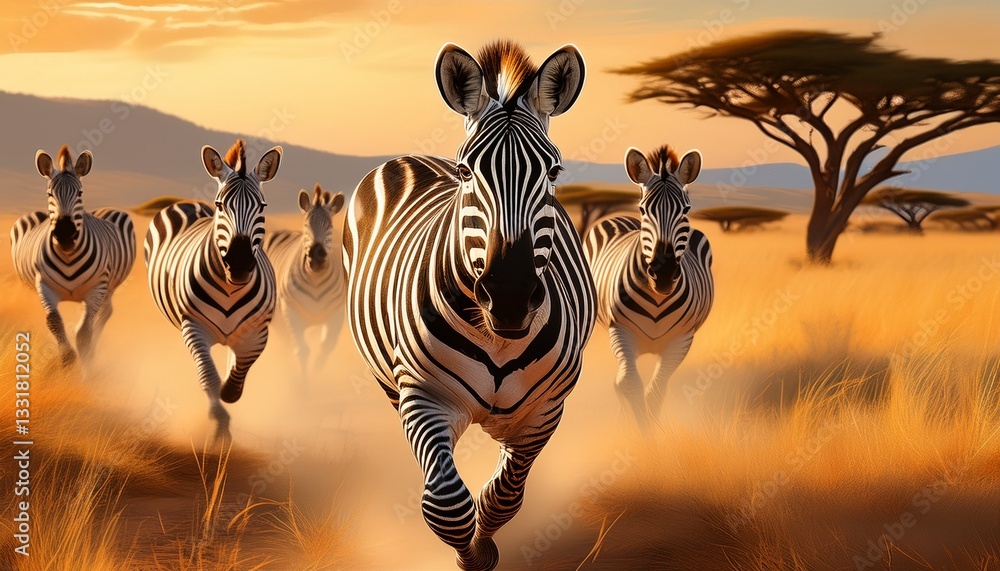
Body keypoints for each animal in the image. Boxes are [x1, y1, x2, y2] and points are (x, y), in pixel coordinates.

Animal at [10, 145, 135, 366]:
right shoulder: (44, 285)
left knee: (103, 315)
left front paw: (86, 366)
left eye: (80, 193)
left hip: (109, 288)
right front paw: (67, 361)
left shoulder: (97, 288)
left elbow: (84, 332)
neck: (68, 255)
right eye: (49, 193)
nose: (65, 233)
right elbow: (53, 321)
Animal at [144, 139, 282, 440]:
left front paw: (230, 391)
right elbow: (208, 377)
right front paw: (219, 425)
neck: (231, 289)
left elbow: (238, 373)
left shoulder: (258, 332)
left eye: (262, 206)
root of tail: (191, 203)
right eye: (221, 205)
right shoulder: (194, 327)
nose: (239, 264)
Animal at [263, 184, 346, 378]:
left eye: (330, 226)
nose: (317, 256)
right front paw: (304, 383)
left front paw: (317, 376)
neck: (316, 279)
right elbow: (302, 350)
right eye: (306, 226)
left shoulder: (336, 313)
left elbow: (324, 349)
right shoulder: (291, 311)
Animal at [344, 40, 595, 571]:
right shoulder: (424, 396)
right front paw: (472, 555)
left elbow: (504, 496)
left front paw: (485, 543)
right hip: (391, 383)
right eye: (466, 172)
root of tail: (417, 157)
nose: (510, 298)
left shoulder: (545, 411)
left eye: (554, 171)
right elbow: (446, 503)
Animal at [583, 145, 714, 428]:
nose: (663, 273)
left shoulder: (682, 339)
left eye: (686, 210)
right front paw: (637, 432)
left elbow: (655, 391)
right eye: (643, 210)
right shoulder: (620, 330)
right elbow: (629, 383)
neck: (658, 298)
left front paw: (651, 434)